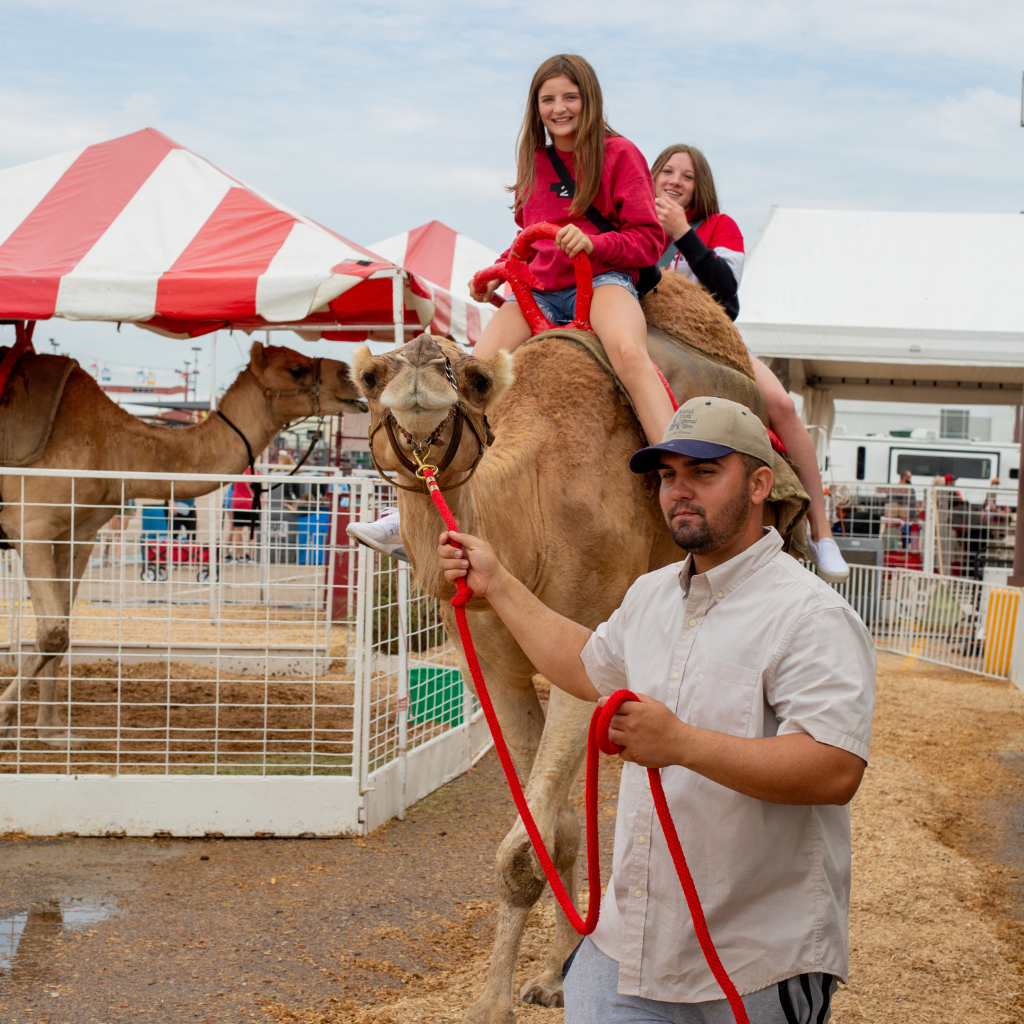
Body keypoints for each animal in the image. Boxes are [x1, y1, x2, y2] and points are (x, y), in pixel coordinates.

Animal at [0, 339, 364, 749]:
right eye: (295, 369)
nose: (350, 377)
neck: (114, 445)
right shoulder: (29, 523)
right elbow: (53, 631)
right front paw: (5, 723)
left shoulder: (78, 532)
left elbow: (62, 628)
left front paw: (52, 732)